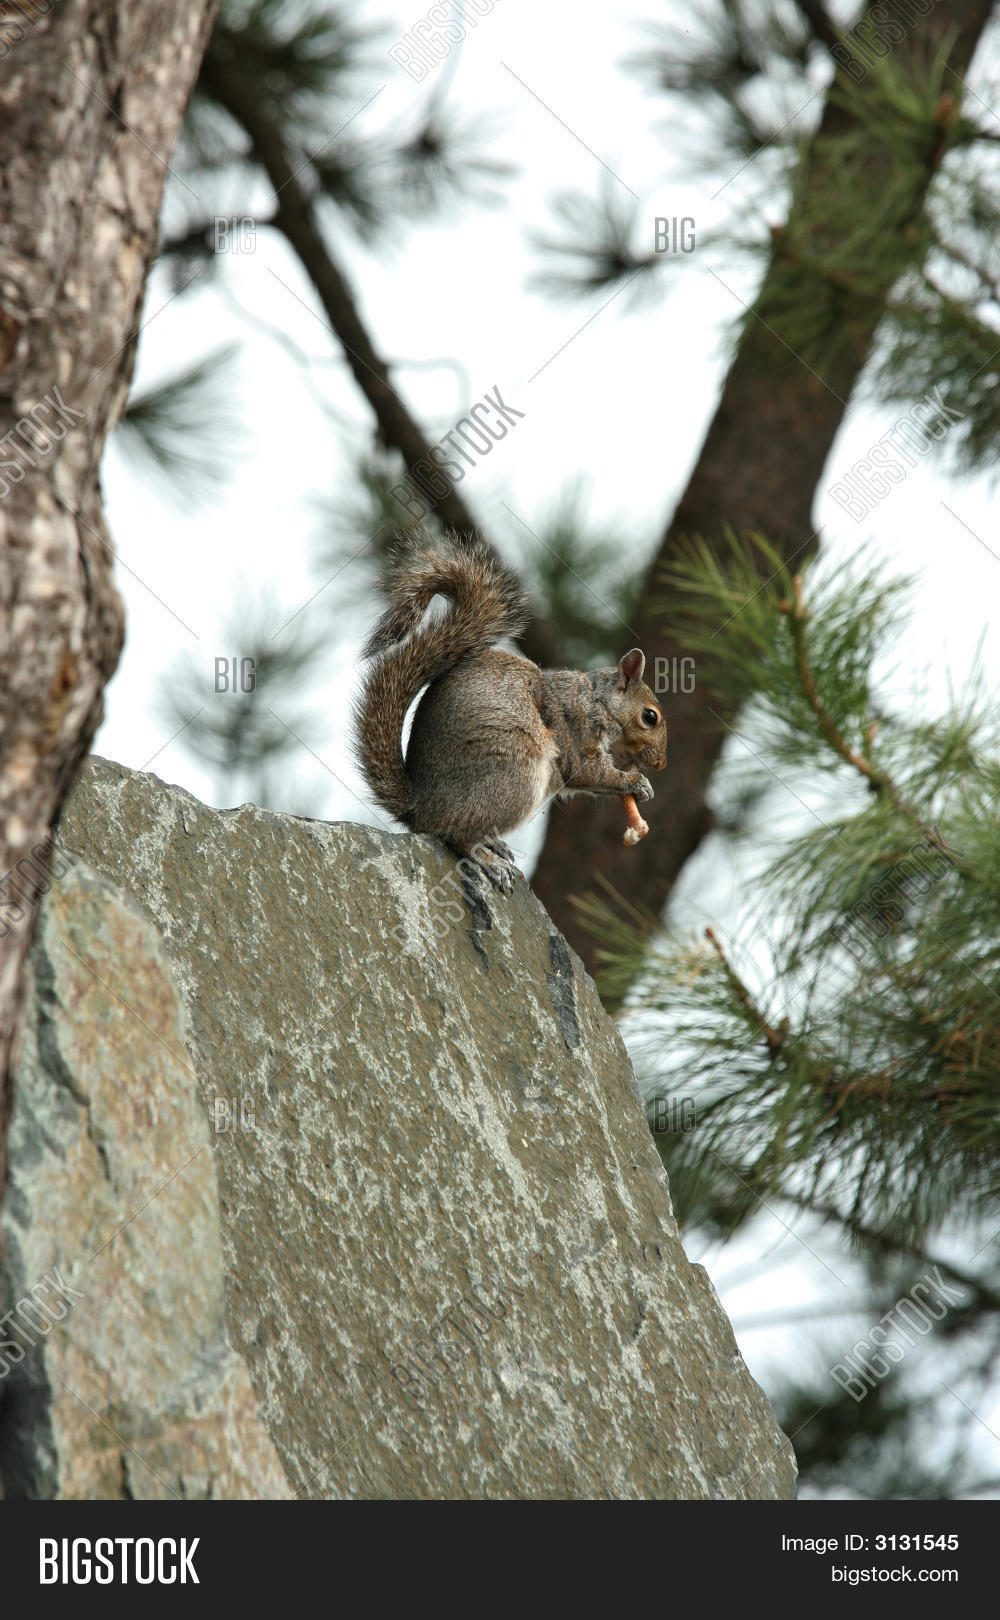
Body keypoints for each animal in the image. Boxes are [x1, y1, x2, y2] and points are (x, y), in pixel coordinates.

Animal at [354, 534, 667, 893]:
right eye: (650, 717)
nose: (661, 764)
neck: (598, 700)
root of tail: (422, 808)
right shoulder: (577, 727)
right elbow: (588, 771)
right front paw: (637, 783)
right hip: (514, 776)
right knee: (456, 834)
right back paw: (488, 859)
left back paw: (495, 845)